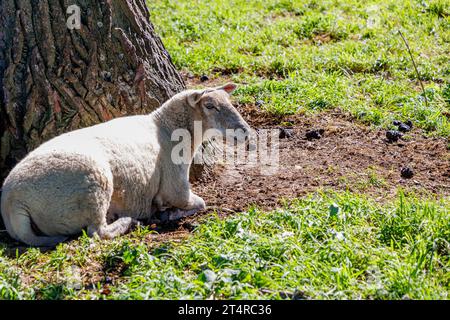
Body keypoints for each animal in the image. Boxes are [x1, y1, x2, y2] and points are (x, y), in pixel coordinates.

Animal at [0, 84, 250, 246]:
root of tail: (13, 201)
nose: (245, 131)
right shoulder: (175, 188)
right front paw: (168, 214)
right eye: (210, 105)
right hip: (93, 184)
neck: (166, 126)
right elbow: (199, 202)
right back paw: (129, 222)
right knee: (97, 232)